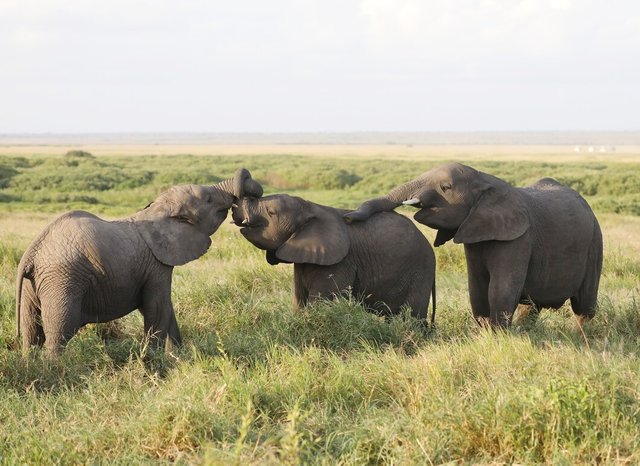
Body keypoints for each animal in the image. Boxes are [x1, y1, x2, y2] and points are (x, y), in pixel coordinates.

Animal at [16, 169, 262, 354]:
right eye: (209, 199)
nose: (241, 208)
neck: (156, 210)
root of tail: (31, 254)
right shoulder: (156, 266)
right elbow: (157, 308)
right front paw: (155, 360)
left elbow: (164, 308)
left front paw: (178, 357)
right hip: (62, 280)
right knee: (59, 333)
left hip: (35, 285)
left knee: (31, 333)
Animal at [230, 191, 436, 322]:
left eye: (271, 213)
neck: (310, 207)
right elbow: (299, 301)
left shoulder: (340, 262)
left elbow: (321, 303)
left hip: (420, 272)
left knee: (413, 315)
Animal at [342, 163, 604, 328]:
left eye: (445, 188)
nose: (348, 218)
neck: (485, 180)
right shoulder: (475, 234)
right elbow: (477, 288)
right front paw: (484, 333)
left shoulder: (519, 238)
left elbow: (500, 289)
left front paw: (498, 337)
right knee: (531, 307)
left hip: (595, 242)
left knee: (584, 306)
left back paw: (582, 337)